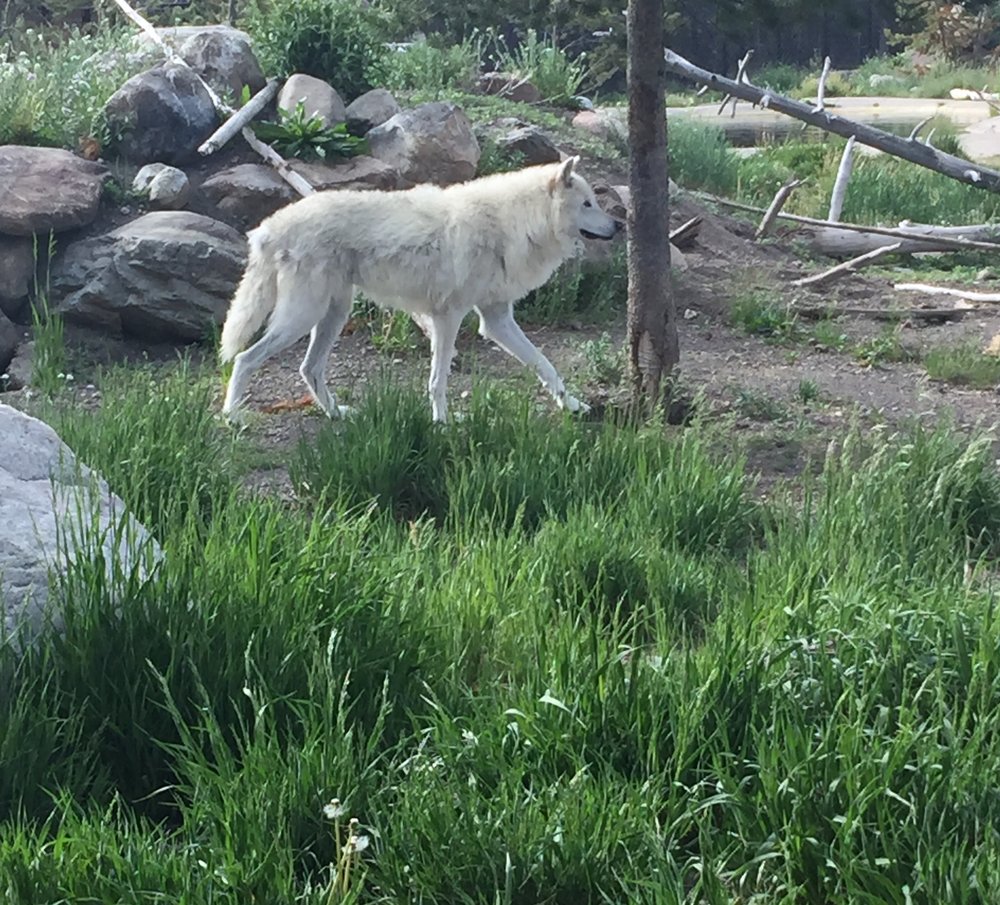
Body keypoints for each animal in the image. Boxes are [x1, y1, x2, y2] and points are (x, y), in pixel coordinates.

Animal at [221, 154, 616, 420]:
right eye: (587, 204)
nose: (617, 226)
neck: (514, 223)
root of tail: (270, 225)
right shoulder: (449, 317)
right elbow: (438, 379)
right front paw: (442, 422)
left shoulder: (496, 319)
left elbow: (545, 365)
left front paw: (573, 405)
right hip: (302, 318)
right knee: (245, 358)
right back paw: (232, 416)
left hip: (332, 315)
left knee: (309, 369)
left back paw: (337, 414)